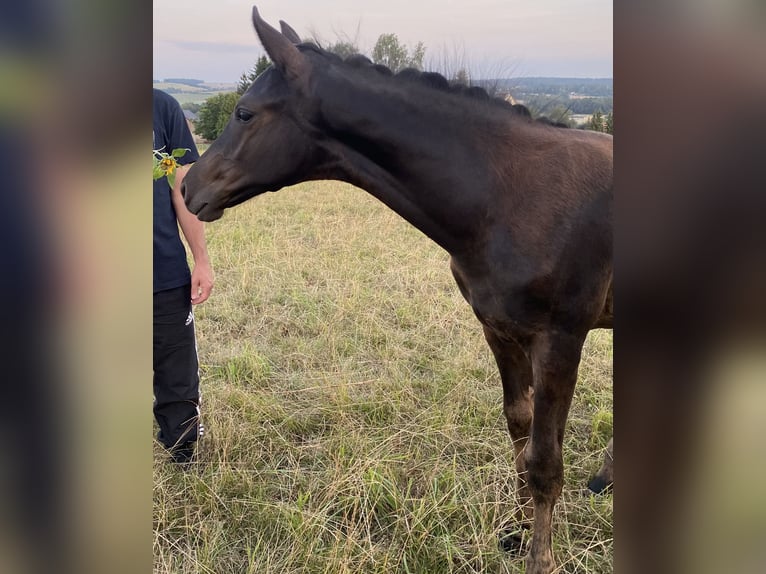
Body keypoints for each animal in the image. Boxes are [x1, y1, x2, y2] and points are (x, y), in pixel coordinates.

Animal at [183, 6, 616, 572]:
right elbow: (519, 428)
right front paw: (517, 531)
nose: (188, 187)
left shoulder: (562, 337)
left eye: (245, 112)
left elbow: (545, 458)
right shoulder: (499, 329)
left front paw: (540, 558)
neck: (507, 198)